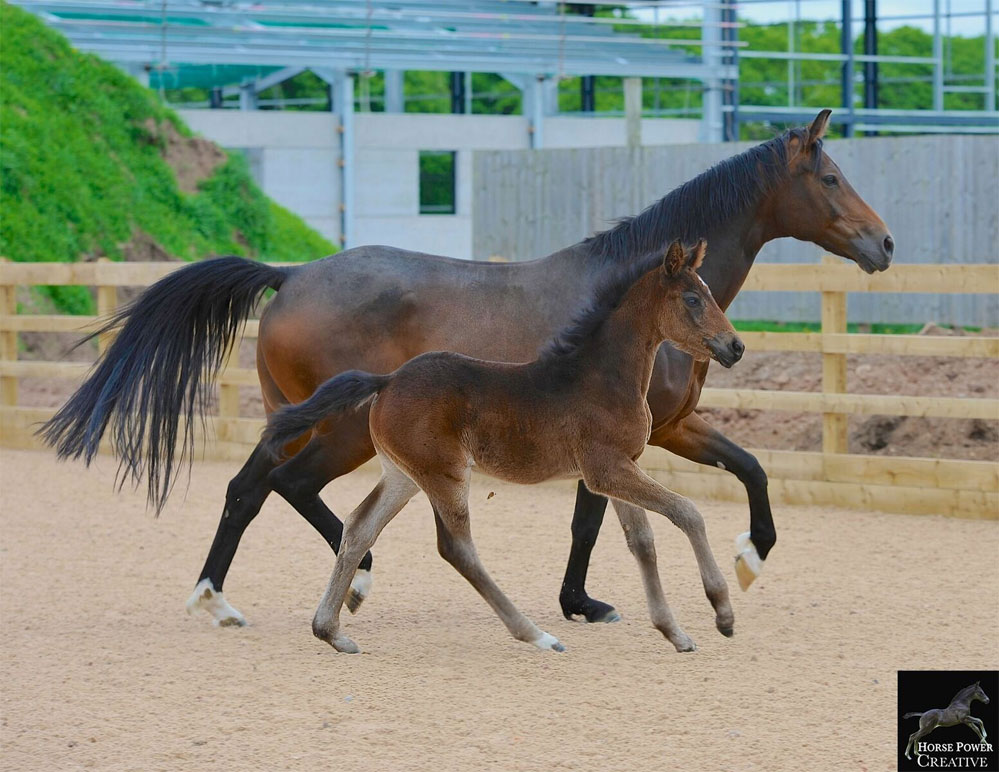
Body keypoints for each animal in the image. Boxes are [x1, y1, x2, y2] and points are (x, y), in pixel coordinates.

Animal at [262, 241, 748, 652]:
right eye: (692, 299)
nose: (736, 346)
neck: (601, 375)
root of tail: (387, 381)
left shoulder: (621, 468)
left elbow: (642, 541)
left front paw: (674, 632)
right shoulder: (607, 469)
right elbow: (687, 512)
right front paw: (722, 611)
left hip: (404, 475)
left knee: (359, 528)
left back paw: (330, 631)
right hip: (446, 474)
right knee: (457, 548)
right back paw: (535, 634)